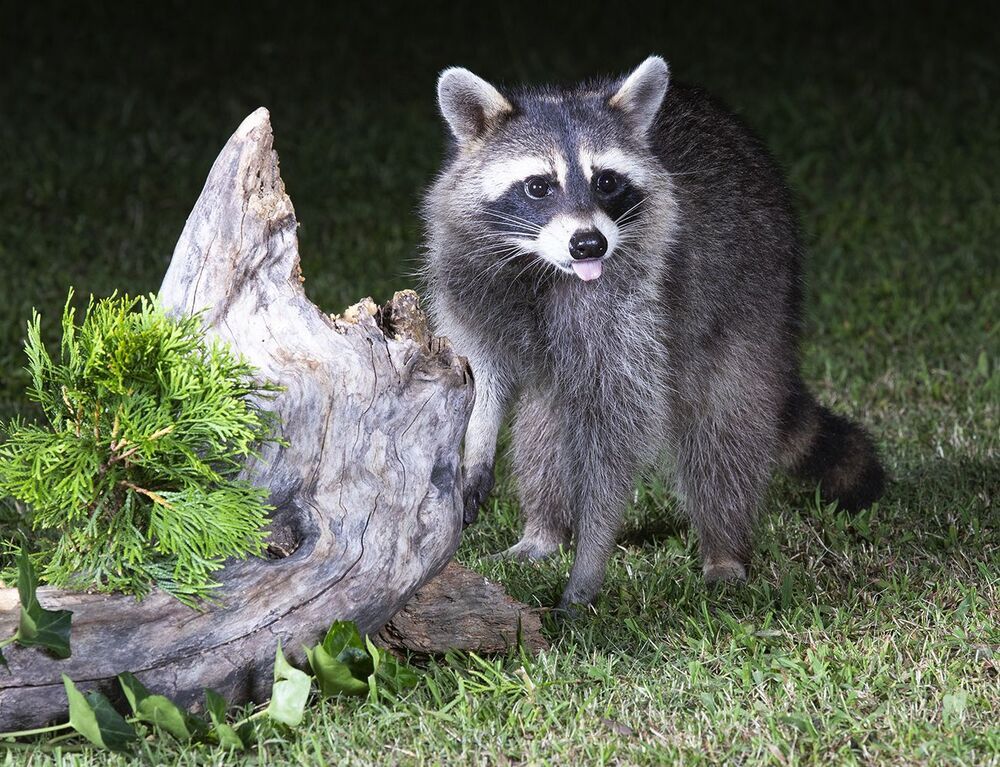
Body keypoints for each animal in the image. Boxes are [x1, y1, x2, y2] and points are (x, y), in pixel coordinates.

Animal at [421, 56, 885, 610]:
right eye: (538, 186)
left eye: (606, 181)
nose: (589, 244)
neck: (543, 267)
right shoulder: (468, 275)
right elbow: (481, 369)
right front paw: (477, 440)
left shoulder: (635, 307)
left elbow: (618, 438)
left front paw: (590, 559)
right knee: (545, 427)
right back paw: (544, 531)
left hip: (756, 294)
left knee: (725, 429)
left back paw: (724, 549)